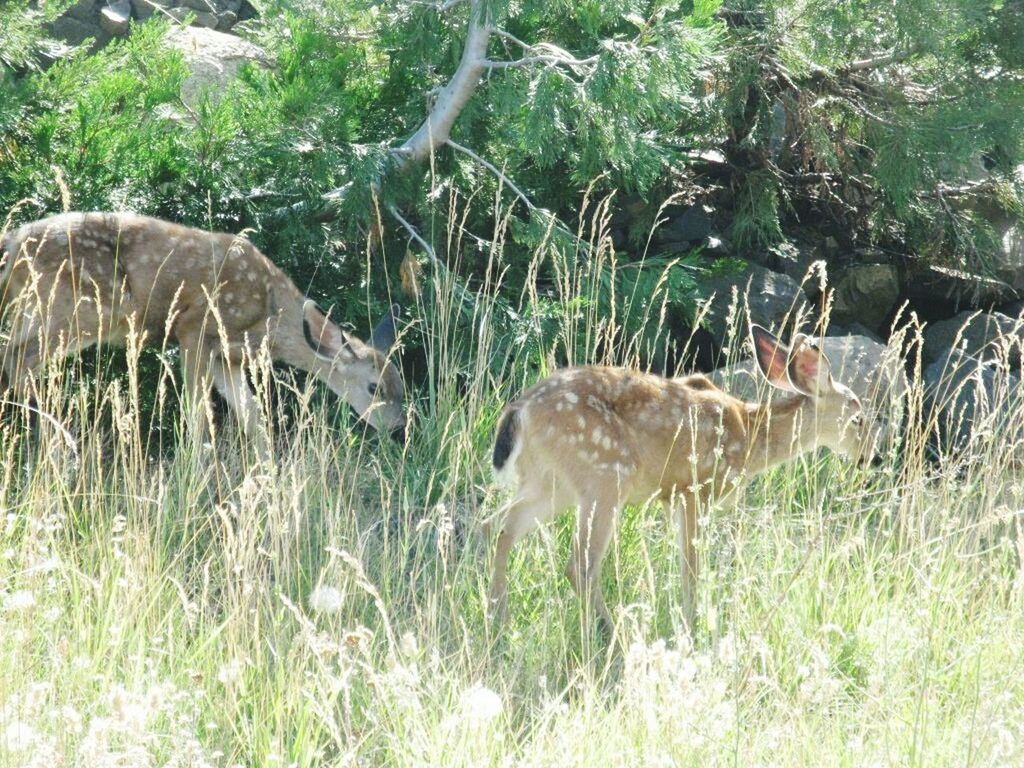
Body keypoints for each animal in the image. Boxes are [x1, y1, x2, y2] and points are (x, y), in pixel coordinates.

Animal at [0, 214, 405, 442]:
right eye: (374, 387)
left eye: (400, 384)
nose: (399, 428)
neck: (268, 318)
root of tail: (13, 243)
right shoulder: (194, 329)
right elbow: (197, 416)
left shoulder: (228, 358)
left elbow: (255, 420)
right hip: (77, 309)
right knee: (17, 356)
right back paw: (58, 439)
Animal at [487, 327, 872, 634]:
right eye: (858, 418)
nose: (873, 457)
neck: (749, 436)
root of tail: (521, 410)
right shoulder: (693, 490)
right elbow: (692, 566)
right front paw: (692, 624)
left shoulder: (671, 496)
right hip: (605, 477)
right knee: (579, 565)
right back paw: (611, 636)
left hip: (551, 483)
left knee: (496, 526)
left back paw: (499, 620)